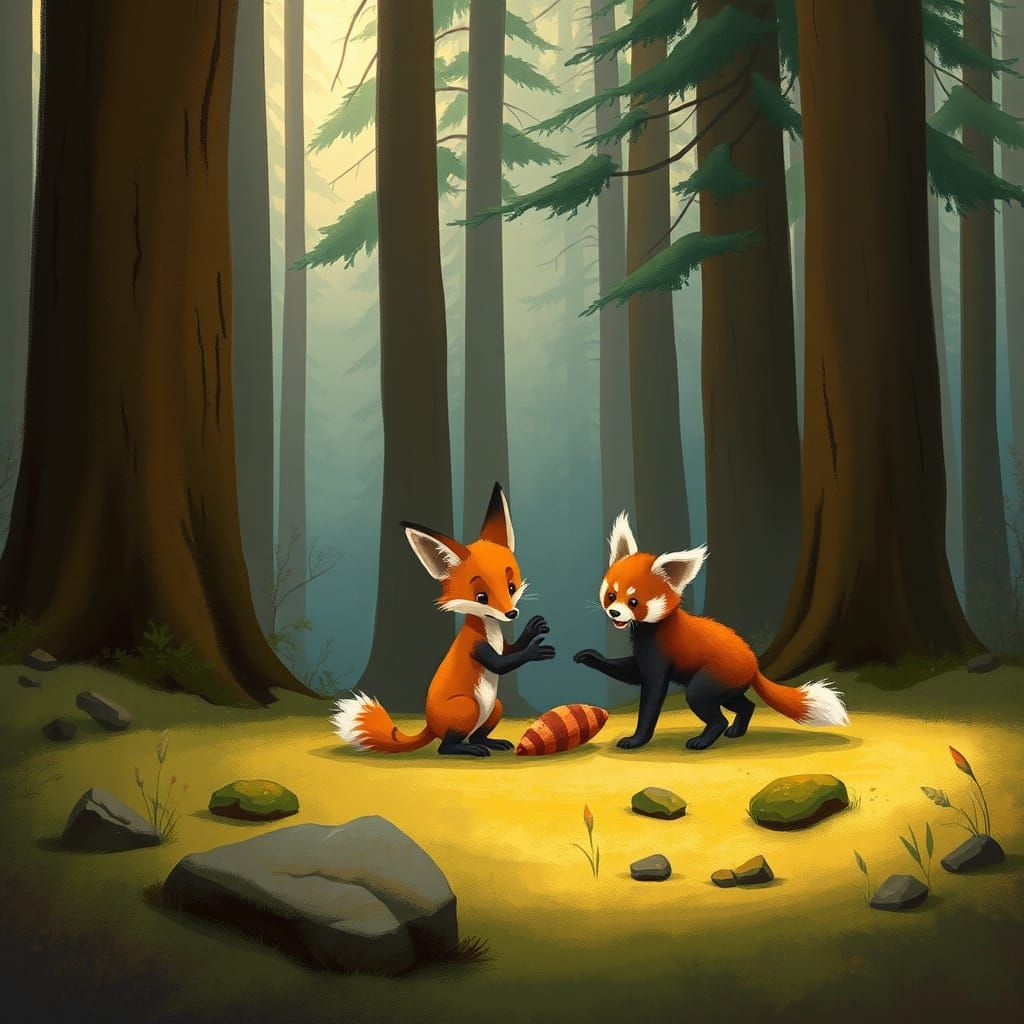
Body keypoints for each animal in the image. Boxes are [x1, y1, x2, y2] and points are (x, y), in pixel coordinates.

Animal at [331, 483, 555, 757]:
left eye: (511, 587)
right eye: (481, 597)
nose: (511, 614)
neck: (490, 630)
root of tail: (430, 725)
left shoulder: (501, 644)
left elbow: (511, 649)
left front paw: (532, 630)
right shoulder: (477, 647)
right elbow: (502, 663)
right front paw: (534, 651)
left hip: (496, 706)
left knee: (476, 734)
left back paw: (489, 742)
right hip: (467, 706)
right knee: (445, 746)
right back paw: (469, 749)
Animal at [572, 512, 849, 751]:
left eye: (634, 602)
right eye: (611, 595)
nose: (614, 613)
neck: (649, 629)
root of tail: (753, 662)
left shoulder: (661, 652)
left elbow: (651, 693)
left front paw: (636, 739)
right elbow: (630, 671)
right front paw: (589, 657)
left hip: (716, 674)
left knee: (703, 701)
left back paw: (704, 740)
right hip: (730, 683)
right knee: (742, 703)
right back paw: (736, 730)